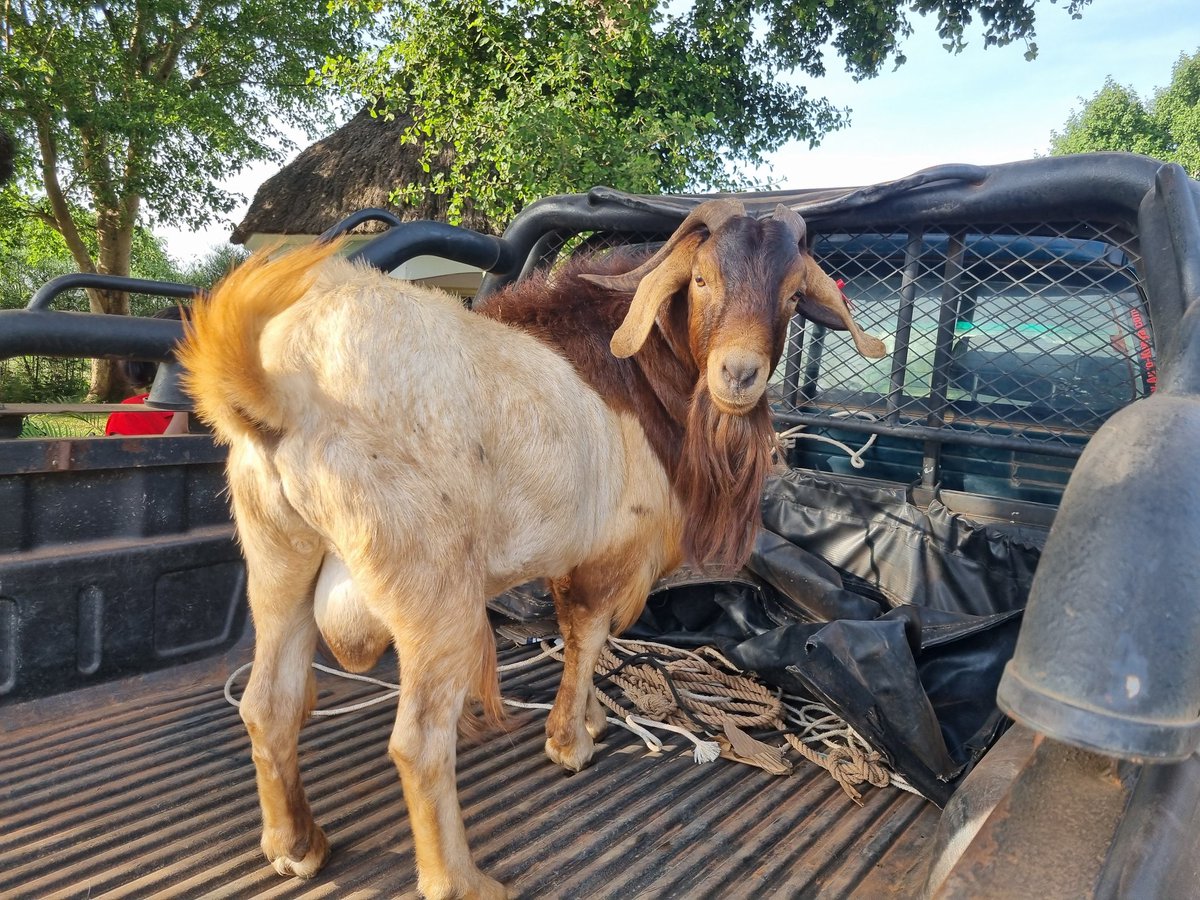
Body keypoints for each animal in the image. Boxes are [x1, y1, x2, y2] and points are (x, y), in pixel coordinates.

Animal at [178, 200, 885, 900]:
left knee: (269, 704)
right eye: (703, 280)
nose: (739, 375)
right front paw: (570, 744)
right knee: (419, 742)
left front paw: (593, 720)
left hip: (278, 560)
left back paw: (296, 846)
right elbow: (587, 635)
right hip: (432, 590)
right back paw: (464, 882)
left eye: (792, 296)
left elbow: (582, 641)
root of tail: (279, 393)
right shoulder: (607, 554)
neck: (635, 369)